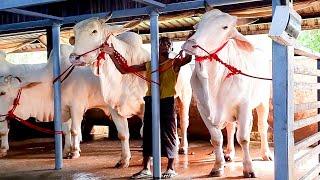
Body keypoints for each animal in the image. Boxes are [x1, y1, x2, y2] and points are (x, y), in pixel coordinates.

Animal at [69, 17, 191, 167]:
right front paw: (124, 159)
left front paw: (150, 159)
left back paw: (182, 147)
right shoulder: (114, 108)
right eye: (75, 34)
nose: (74, 57)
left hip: (185, 95)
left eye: (94, 31)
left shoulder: (147, 107)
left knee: (184, 122)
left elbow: (146, 132)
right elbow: (123, 134)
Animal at [181, 9, 272, 177]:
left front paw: (248, 168)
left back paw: (266, 154)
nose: (190, 44)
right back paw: (229, 153)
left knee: (262, 126)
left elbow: (243, 138)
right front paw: (218, 166)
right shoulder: (203, 109)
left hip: (262, 101)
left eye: (225, 27)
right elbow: (217, 139)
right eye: (197, 25)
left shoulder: (243, 105)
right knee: (230, 128)